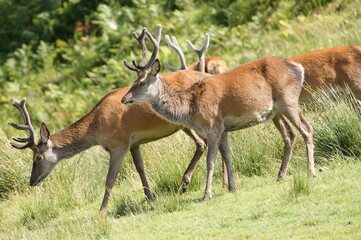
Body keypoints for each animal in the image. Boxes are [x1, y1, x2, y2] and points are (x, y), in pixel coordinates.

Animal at [7, 24, 214, 214]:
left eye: (38, 157)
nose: (32, 181)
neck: (95, 129)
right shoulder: (134, 142)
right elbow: (140, 168)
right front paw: (150, 198)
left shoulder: (118, 144)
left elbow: (110, 179)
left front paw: (102, 211)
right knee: (201, 143)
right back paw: (185, 183)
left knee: (203, 142)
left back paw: (186, 183)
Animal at [121, 42, 316, 200]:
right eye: (134, 81)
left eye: (142, 83)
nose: (124, 99)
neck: (191, 107)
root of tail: (298, 66)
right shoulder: (224, 129)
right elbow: (228, 156)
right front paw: (232, 187)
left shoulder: (212, 126)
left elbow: (210, 161)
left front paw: (207, 194)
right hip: (276, 111)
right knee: (291, 134)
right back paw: (281, 175)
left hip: (288, 100)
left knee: (306, 129)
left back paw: (310, 172)